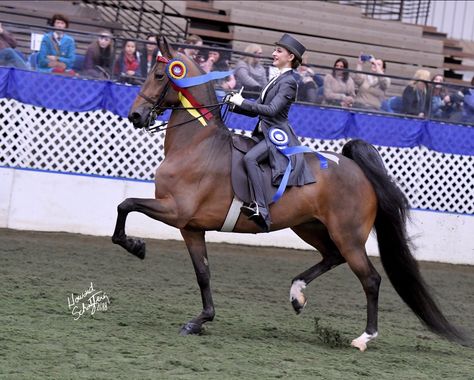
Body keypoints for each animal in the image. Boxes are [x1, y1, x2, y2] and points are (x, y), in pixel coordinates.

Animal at [113, 37, 464, 350]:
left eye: (160, 75)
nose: (135, 116)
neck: (196, 145)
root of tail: (355, 168)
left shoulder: (176, 210)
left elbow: (126, 205)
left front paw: (136, 246)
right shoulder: (191, 227)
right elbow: (203, 274)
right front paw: (200, 320)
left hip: (348, 236)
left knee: (370, 279)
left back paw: (364, 338)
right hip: (309, 226)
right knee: (332, 257)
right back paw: (297, 295)